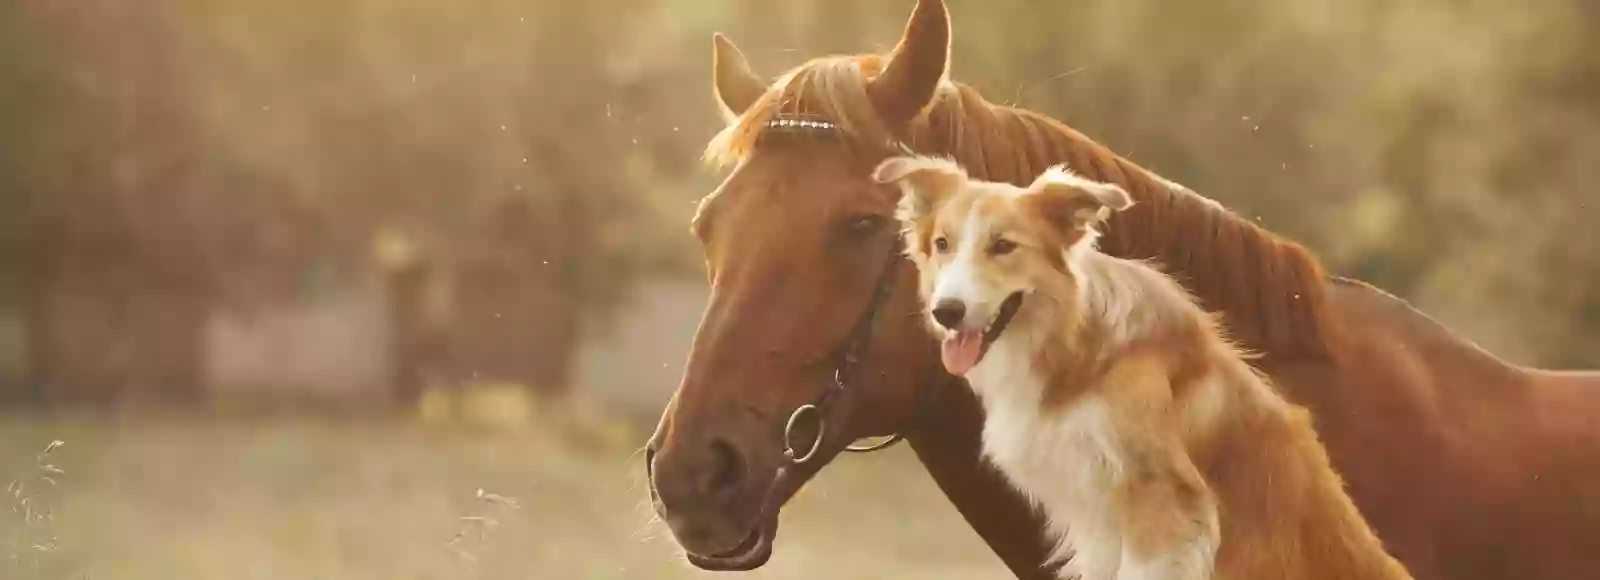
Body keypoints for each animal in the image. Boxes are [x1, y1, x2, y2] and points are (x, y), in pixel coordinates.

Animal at [876, 153, 1414, 580]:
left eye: (1003, 246)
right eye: (942, 244)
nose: (946, 312)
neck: (1075, 349)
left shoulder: (1165, 505)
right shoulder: (1094, 519)